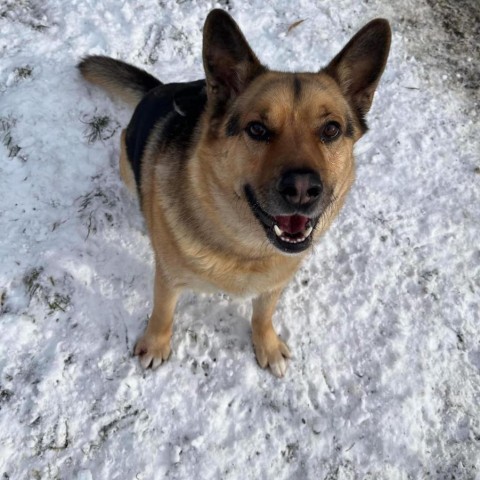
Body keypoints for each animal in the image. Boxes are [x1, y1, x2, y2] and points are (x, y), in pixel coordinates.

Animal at [79, 7, 392, 376]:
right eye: (256, 129)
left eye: (331, 130)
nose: (303, 189)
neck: (245, 248)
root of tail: (156, 90)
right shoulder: (168, 278)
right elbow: (163, 312)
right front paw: (156, 342)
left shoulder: (273, 284)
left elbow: (263, 315)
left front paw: (266, 343)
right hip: (125, 161)